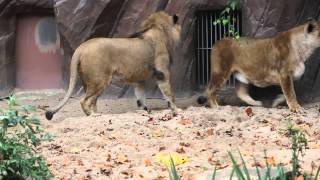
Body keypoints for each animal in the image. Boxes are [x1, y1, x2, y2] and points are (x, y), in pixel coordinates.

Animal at [45, 11, 181, 120]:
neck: (157, 29)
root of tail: (81, 47)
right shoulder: (163, 73)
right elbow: (169, 94)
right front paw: (177, 110)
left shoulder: (139, 80)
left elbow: (141, 98)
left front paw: (145, 111)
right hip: (100, 80)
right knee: (84, 100)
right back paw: (93, 115)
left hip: (88, 82)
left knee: (93, 101)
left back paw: (97, 113)